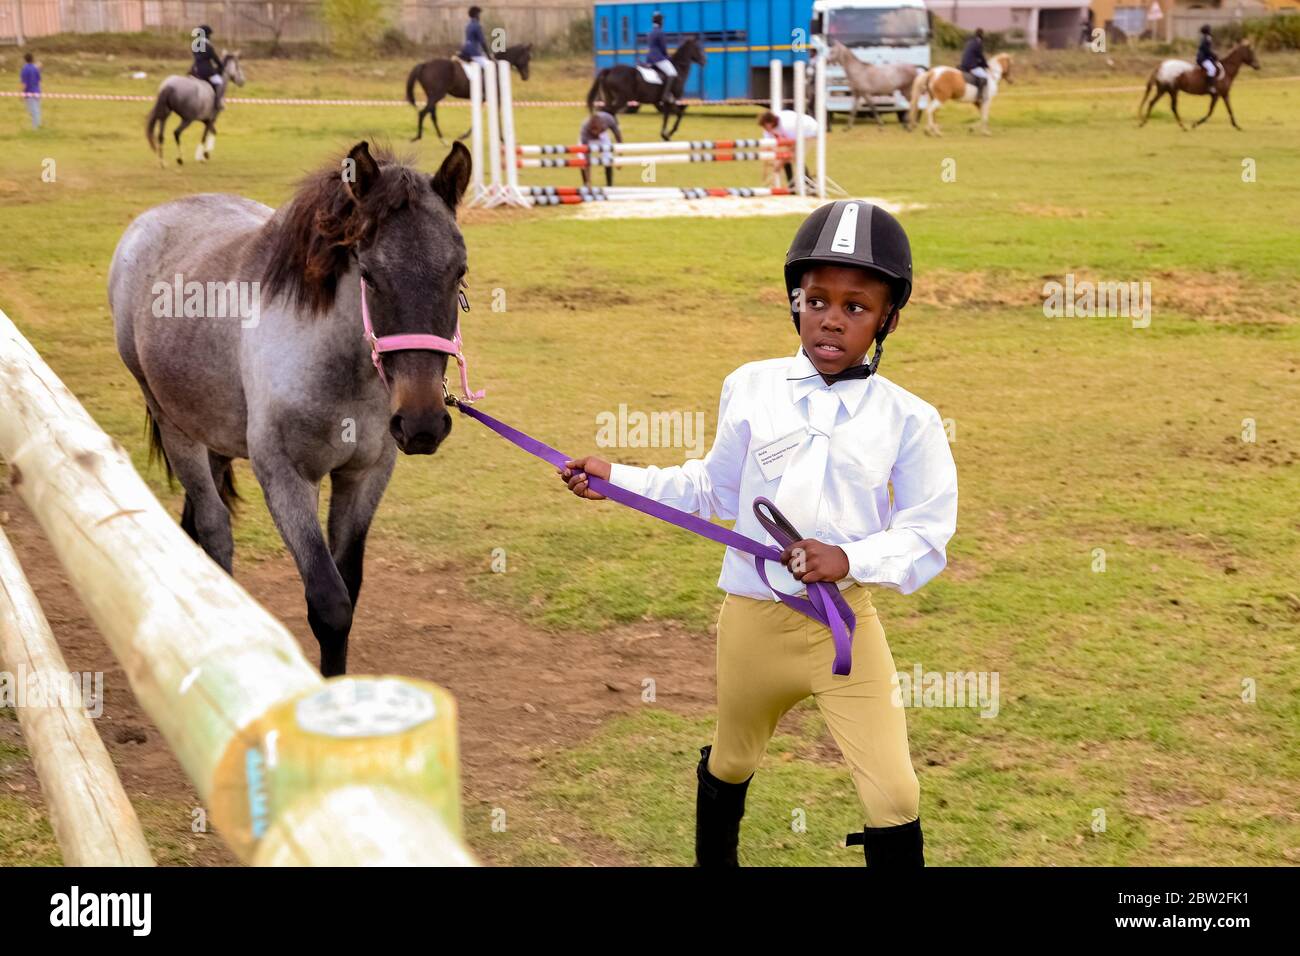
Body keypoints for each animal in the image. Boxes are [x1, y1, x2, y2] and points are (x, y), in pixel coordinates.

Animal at [108, 142, 473, 676]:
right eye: (369, 274)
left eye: (458, 271)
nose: (423, 423)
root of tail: (148, 223)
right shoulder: (285, 477)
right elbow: (329, 602)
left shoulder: (364, 475)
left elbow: (349, 586)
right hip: (175, 426)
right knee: (214, 528)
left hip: (216, 433)